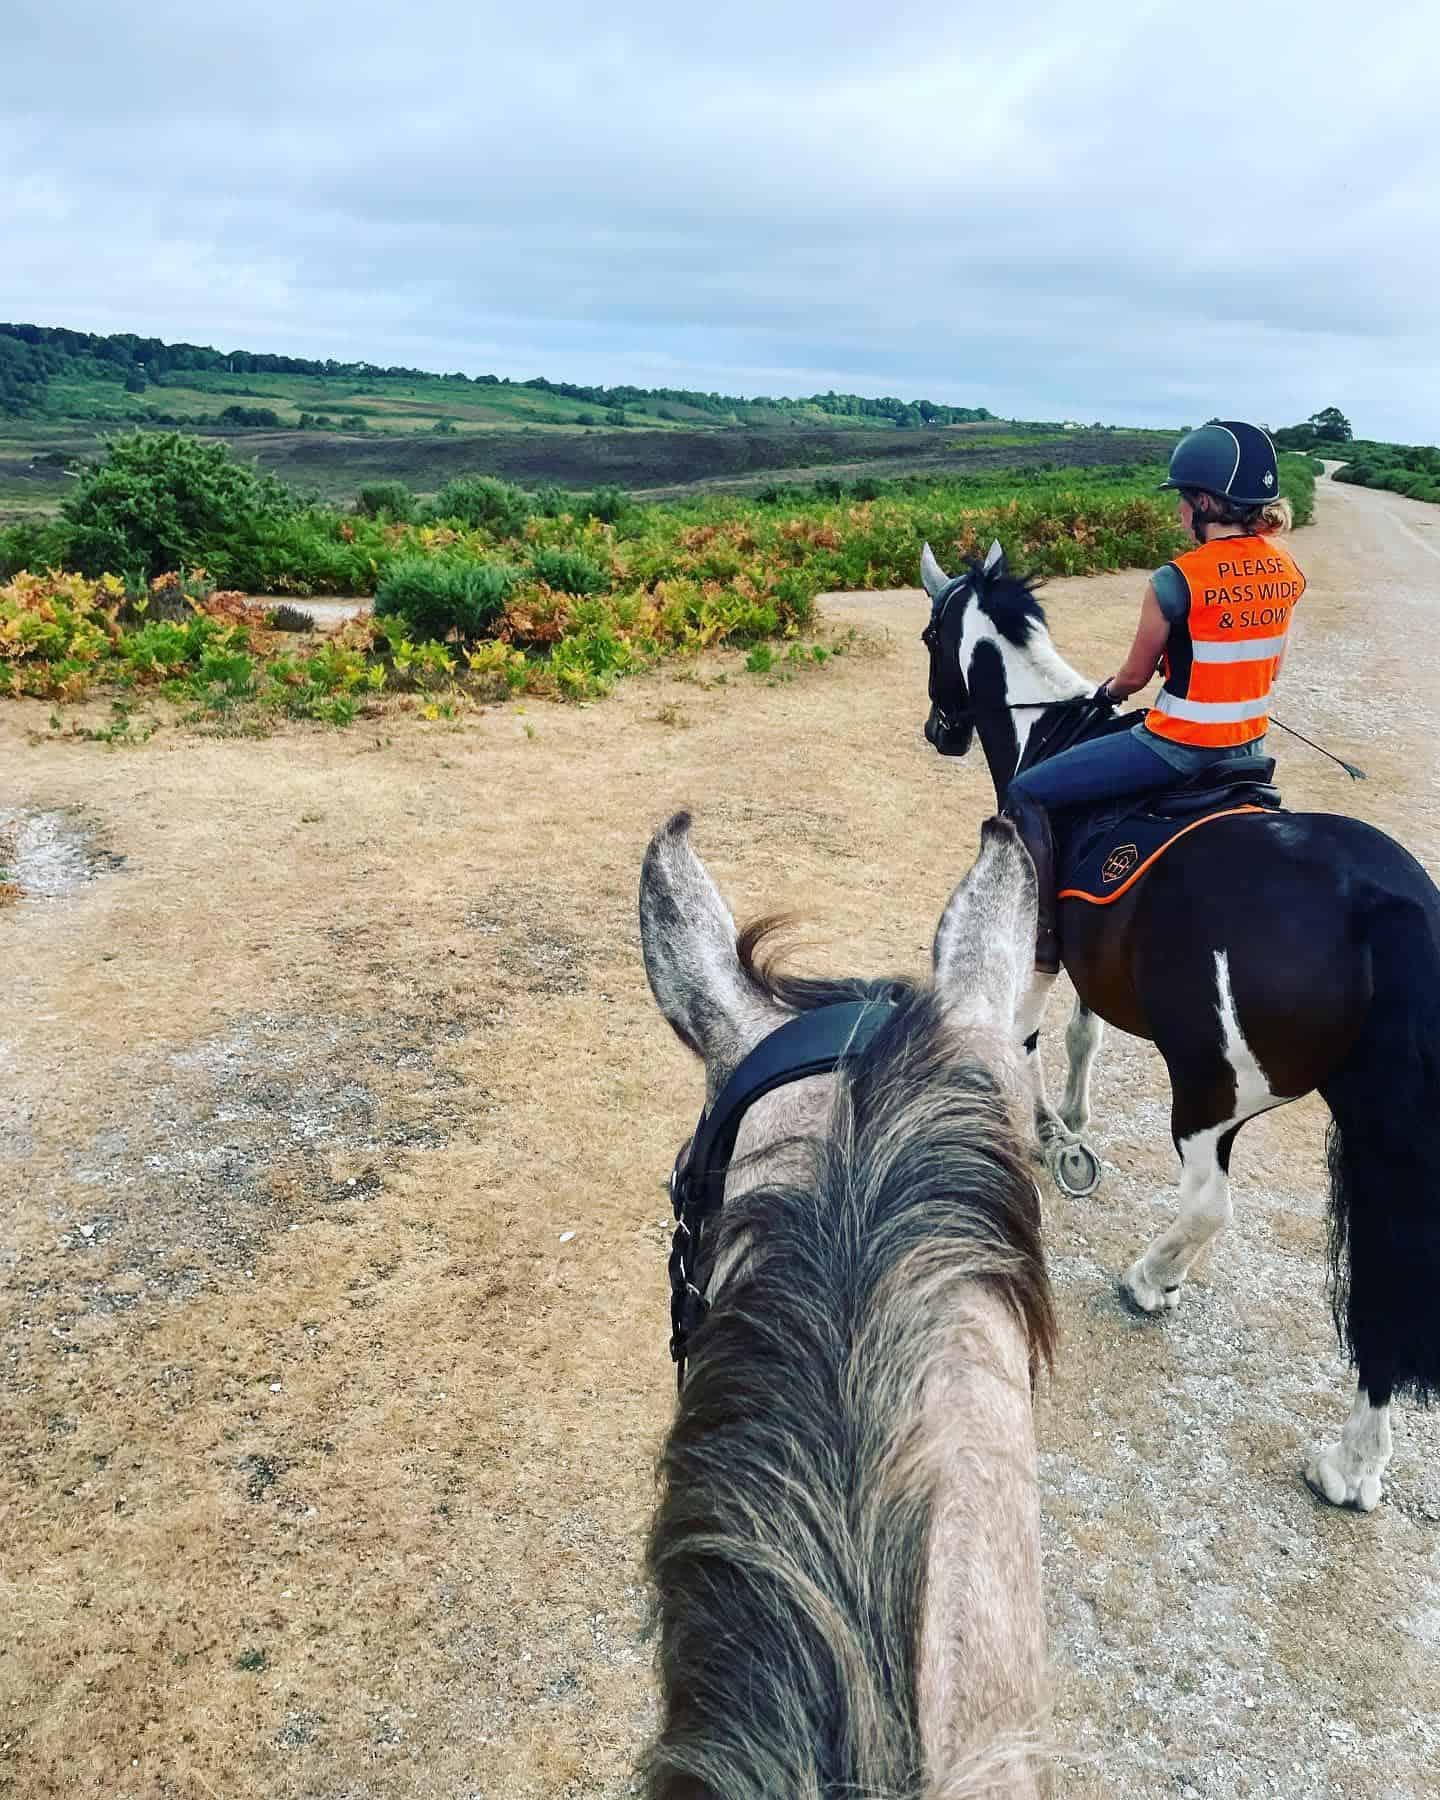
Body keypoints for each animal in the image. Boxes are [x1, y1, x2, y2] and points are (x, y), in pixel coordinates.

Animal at [921, 540, 1440, 1512]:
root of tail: (1381, 901)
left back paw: (1150, 1280)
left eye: (932, 636)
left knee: (1207, 1204)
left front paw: (1043, 1135)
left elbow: (1026, 1037)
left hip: (1209, 1088)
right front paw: (1070, 1128)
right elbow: (1082, 1037)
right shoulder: (1090, 963)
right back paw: (1354, 1464)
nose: (938, 730)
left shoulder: (1037, 942)